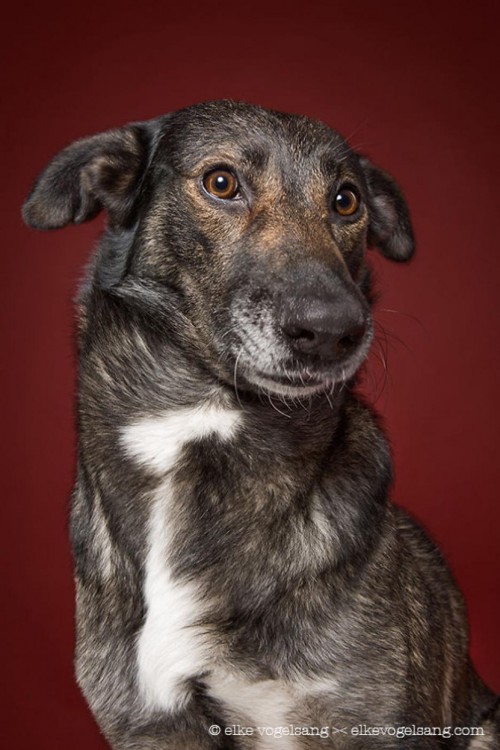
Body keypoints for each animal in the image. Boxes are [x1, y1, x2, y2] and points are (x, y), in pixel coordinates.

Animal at [22, 101, 496, 750]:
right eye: (221, 183)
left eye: (346, 200)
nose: (335, 330)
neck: (200, 422)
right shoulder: (148, 723)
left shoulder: (360, 721)